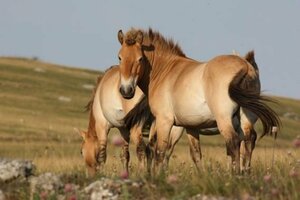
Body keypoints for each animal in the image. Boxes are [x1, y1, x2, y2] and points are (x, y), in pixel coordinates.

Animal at [116, 28, 280, 173]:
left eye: (140, 58)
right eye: (120, 57)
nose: (126, 90)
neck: (165, 71)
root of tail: (245, 66)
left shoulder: (165, 121)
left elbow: (160, 153)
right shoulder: (191, 126)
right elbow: (196, 155)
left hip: (224, 119)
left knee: (233, 143)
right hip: (246, 118)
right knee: (249, 140)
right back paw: (245, 174)